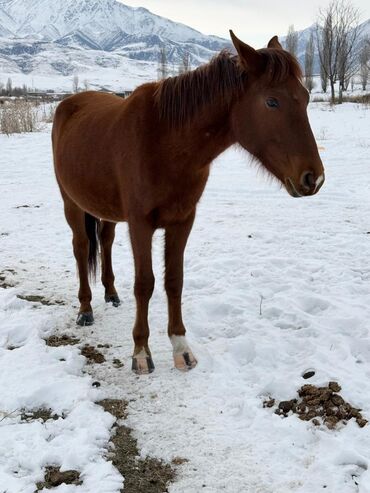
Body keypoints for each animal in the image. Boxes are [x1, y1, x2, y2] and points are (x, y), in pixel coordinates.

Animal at [51, 30, 324, 372]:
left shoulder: (183, 220)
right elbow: (145, 283)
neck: (164, 142)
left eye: (306, 97)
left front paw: (180, 347)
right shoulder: (140, 224)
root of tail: (69, 103)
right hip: (71, 203)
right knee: (81, 247)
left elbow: (174, 281)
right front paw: (141, 352)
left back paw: (111, 293)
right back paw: (85, 309)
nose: (313, 178)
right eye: (271, 101)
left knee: (106, 239)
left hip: (106, 209)